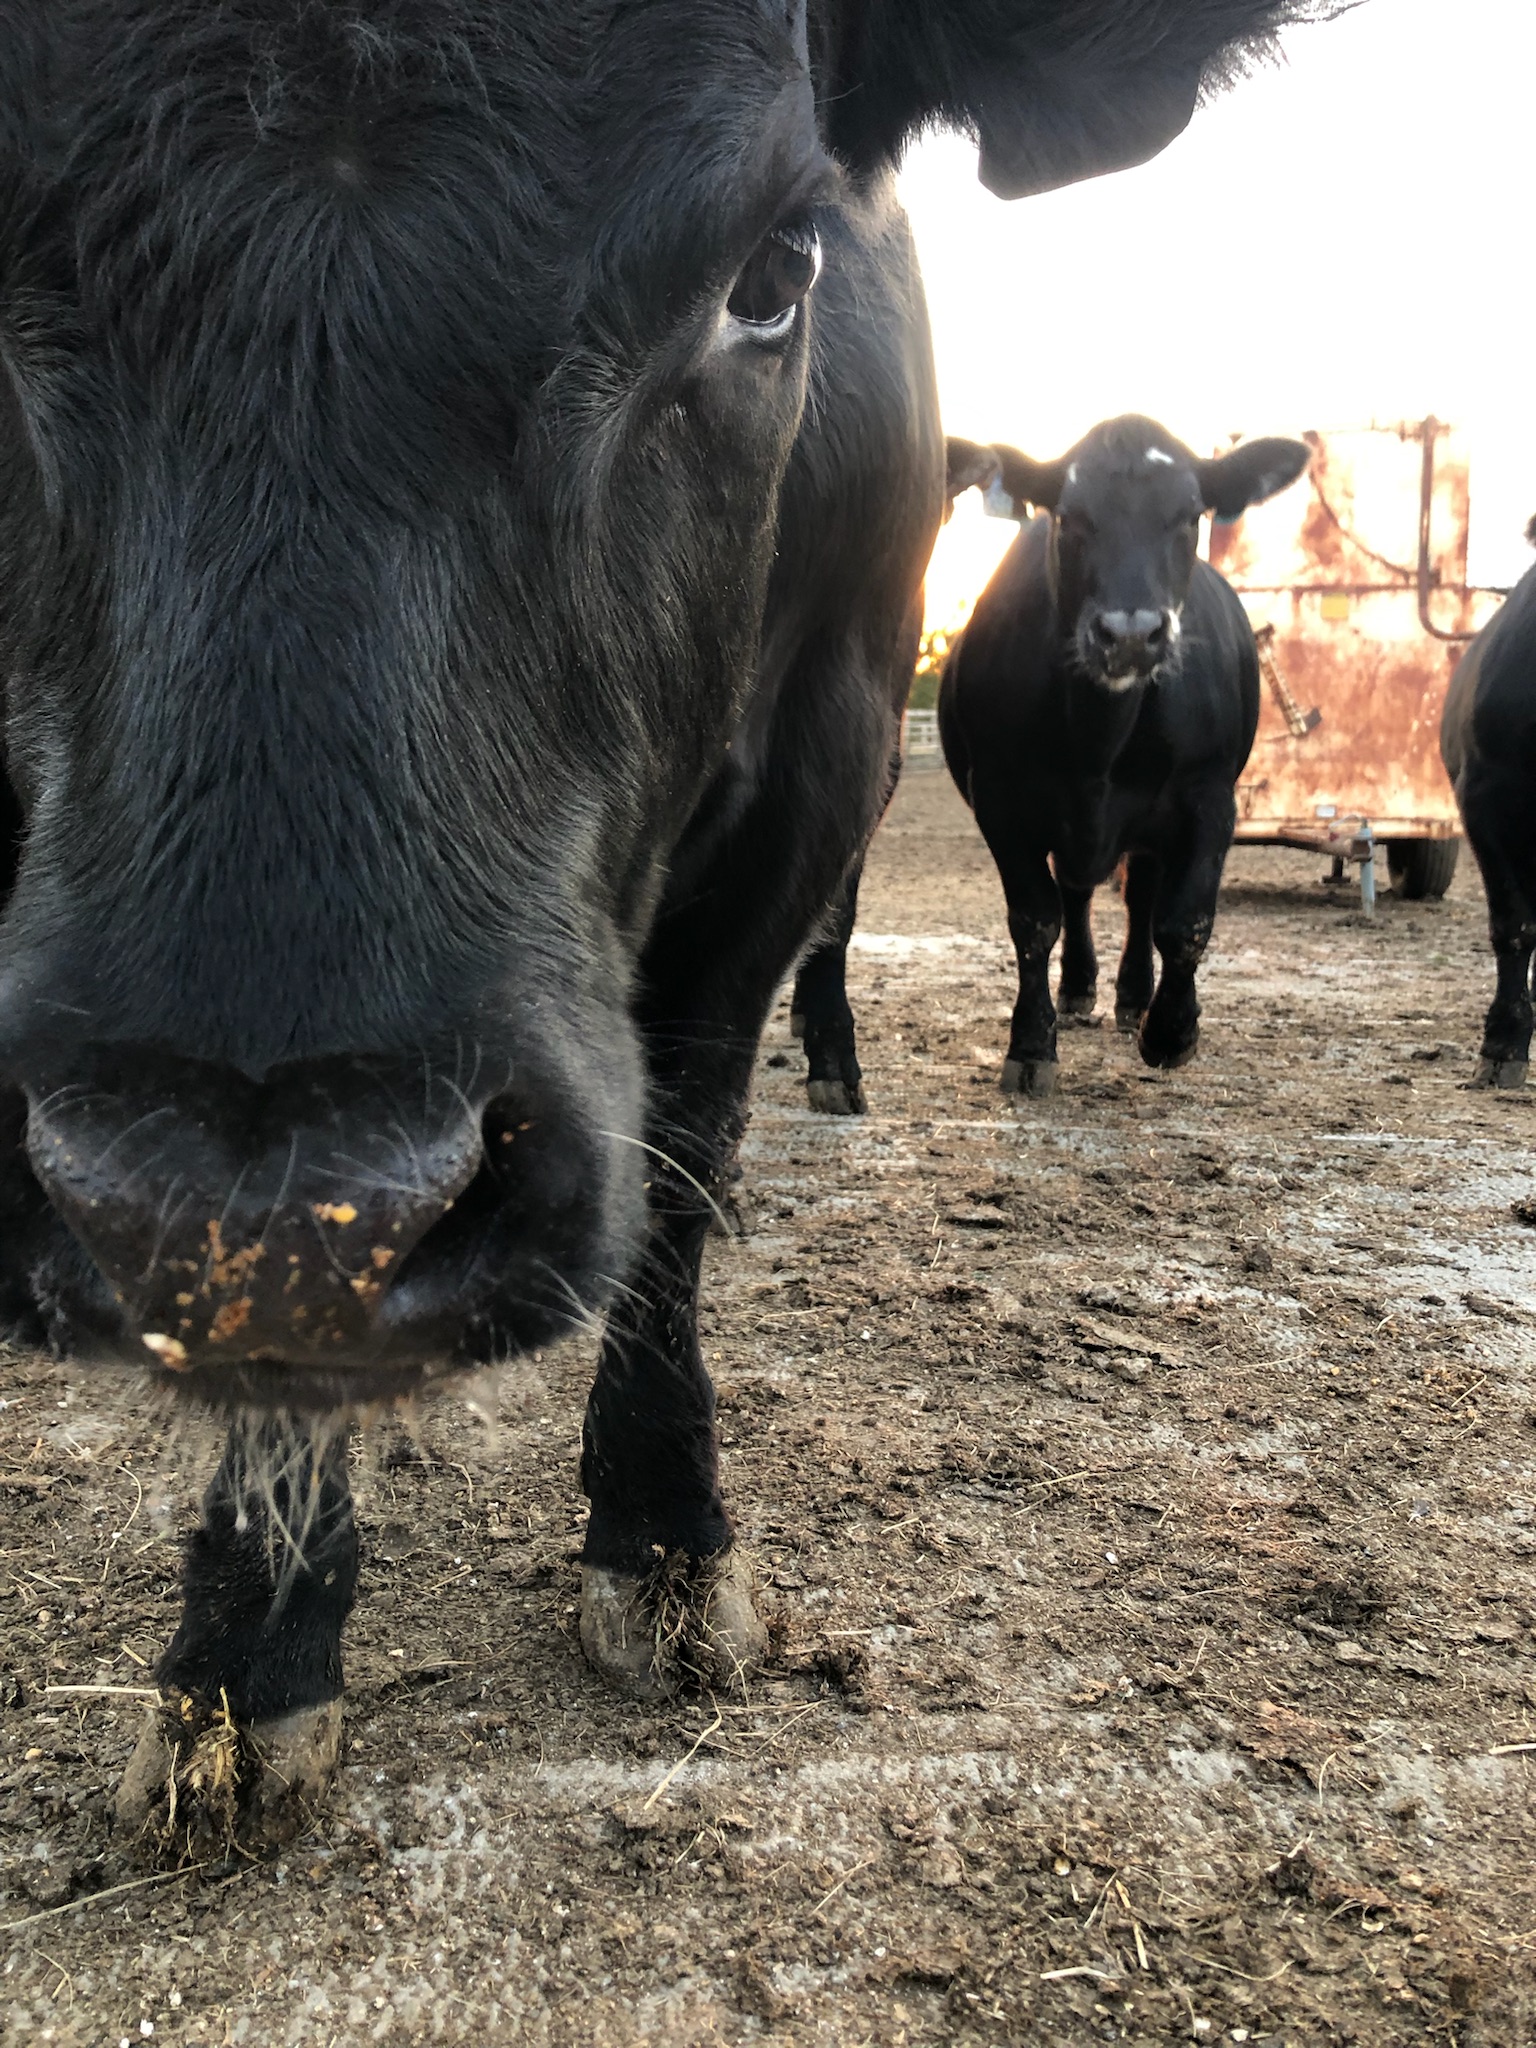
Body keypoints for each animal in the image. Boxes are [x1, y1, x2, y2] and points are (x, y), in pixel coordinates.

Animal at [939, 418, 1310, 1095]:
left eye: (1190, 515)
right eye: (1068, 515)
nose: (1131, 634)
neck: (1099, 738)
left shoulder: (1209, 798)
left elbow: (1185, 920)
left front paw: (1171, 1031)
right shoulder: (1002, 801)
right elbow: (1035, 919)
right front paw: (1031, 1044)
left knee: (1140, 901)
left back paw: (1135, 999)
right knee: (1076, 894)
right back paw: (1079, 989)